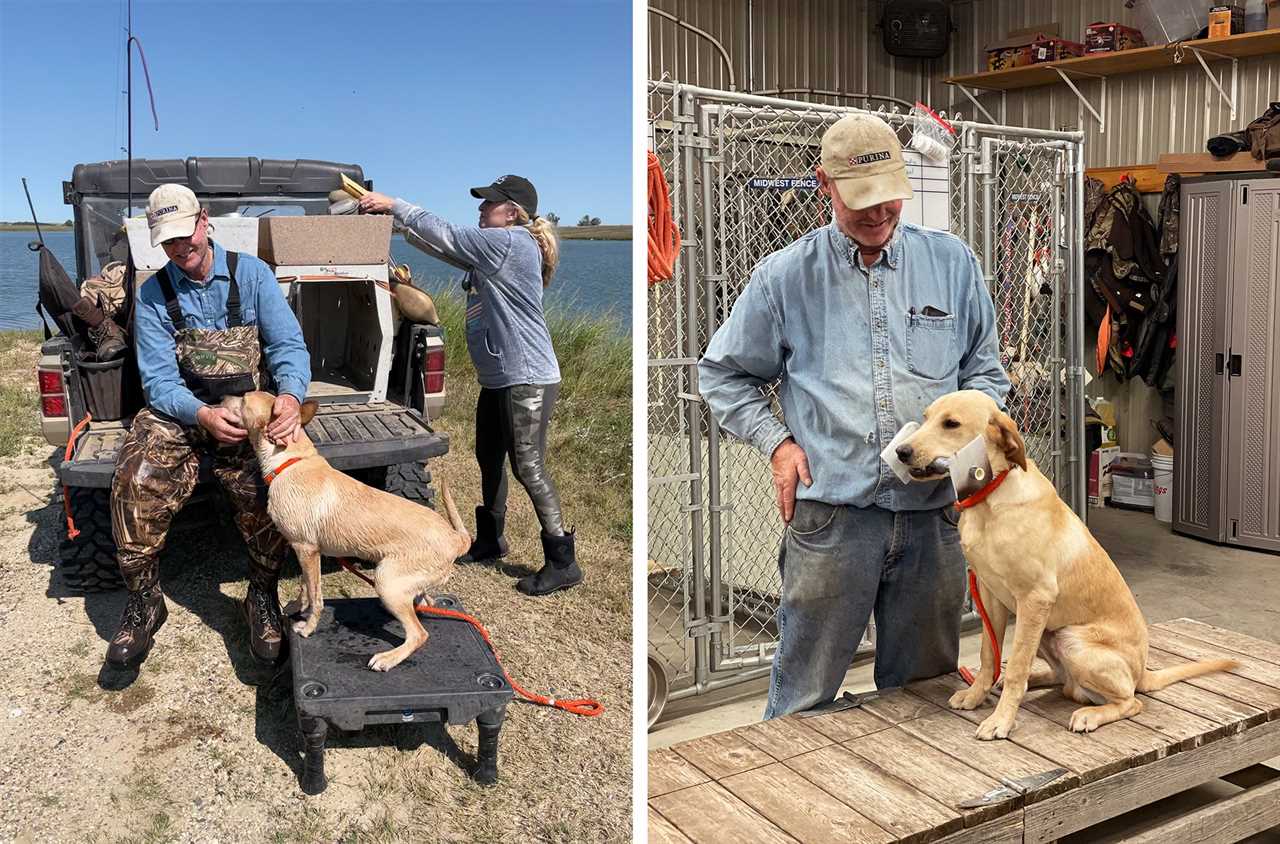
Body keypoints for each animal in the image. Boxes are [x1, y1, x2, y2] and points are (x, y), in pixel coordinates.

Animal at [220, 391, 471, 671]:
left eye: (243, 400)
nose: (221, 398)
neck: (291, 461)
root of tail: (456, 538)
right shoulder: (306, 552)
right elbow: (305, 587)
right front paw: (297, 607)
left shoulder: (306, 549)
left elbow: (316, 596)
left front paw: (308, 627)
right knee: (426, 603)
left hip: (386, 581)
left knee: (419, 634)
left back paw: (388, 658)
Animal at [896, 389, 1233, 737]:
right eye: (925, 418)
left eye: (951, 424)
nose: (901, 452)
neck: (991, 497)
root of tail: (1142, 672)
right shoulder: (990, 596)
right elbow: (989, 655)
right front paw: (977, 694)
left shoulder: (1035, 598)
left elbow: (1016, 666)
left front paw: (1001, 720)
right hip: (1049, 631)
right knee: (1063, 680)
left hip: (1072, 639)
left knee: (1130, 701)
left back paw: (1090, 715)